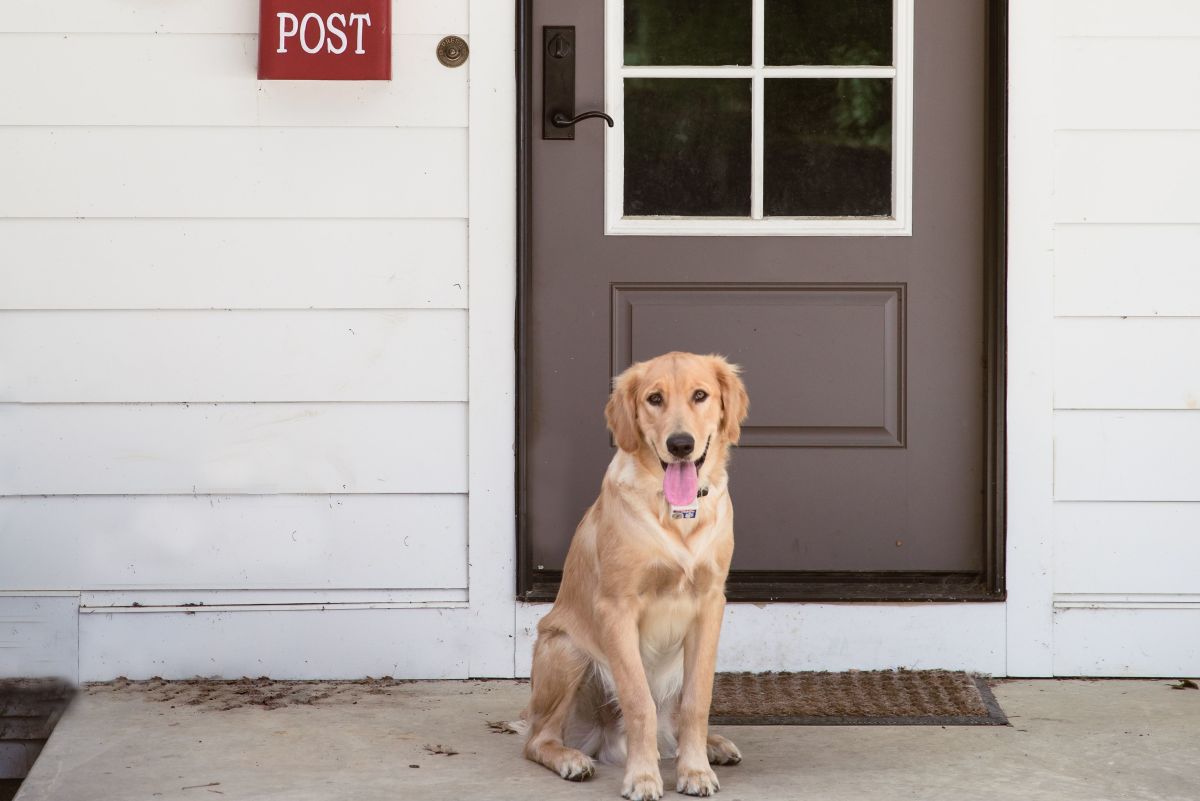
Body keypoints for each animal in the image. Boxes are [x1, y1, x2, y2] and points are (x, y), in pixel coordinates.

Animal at [520, 352, 744, 801]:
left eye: (700, 395)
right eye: (654, 398)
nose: (680, 444)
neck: (676, 512)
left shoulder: (710, 603)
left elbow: (698, 701)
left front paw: (695, 770)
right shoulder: (617, 607)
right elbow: (639, 701)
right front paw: (642, 777)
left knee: (674, 725)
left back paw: (711, 746)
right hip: (566, 649)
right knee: (538, 738)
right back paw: (571, 758)